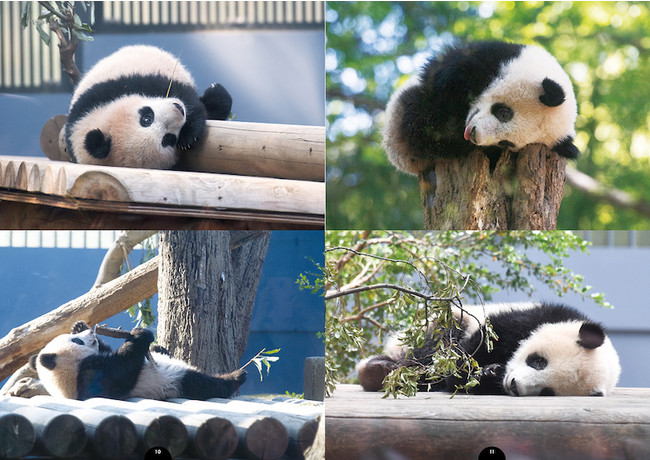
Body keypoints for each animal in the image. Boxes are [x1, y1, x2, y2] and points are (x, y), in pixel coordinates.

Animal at [29, 322, 246, 400]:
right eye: (77, 341)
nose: (91, 332)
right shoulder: (89, 378)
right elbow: (122, 370)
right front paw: (141, 335)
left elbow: (108, 350)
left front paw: (78, 325)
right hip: (175, 382)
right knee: (202, 384)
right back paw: (236, 377)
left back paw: (159, 348)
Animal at [65, 45, 233, 170]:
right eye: (168, 139)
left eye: (146, 118)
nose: (179, 109)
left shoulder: (116, 86)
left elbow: (187, 98)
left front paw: (189, 136)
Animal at [356, 302, 620, 396]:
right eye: (539, 362)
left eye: (548, 392)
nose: (513, 385)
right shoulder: (535, 316)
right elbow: (482, 341)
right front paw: (471, 372)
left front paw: (489, 373)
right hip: (448, 321)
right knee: (436, 344)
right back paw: (384, 371)